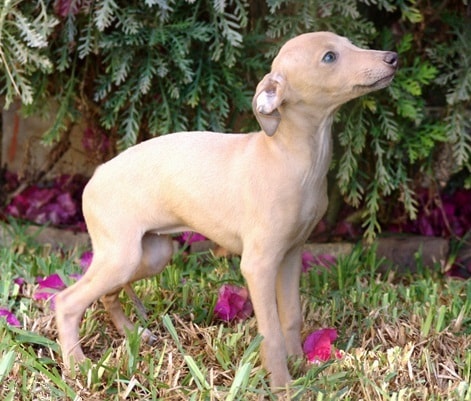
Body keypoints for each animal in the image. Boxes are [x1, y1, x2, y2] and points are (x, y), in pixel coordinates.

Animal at [57, 31, 400, 388]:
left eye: (349, 43)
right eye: (329, 57)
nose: (393, 58)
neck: (287, 156)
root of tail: (96, 174)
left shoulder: (291, 254)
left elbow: (292, 316)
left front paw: (300, 366)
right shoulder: (258, 265)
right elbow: (271, 333)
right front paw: (282, 385)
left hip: (149, 255)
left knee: (107, 294)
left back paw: (134, 334)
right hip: (121, 256)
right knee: (67, 301)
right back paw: (77, 364)